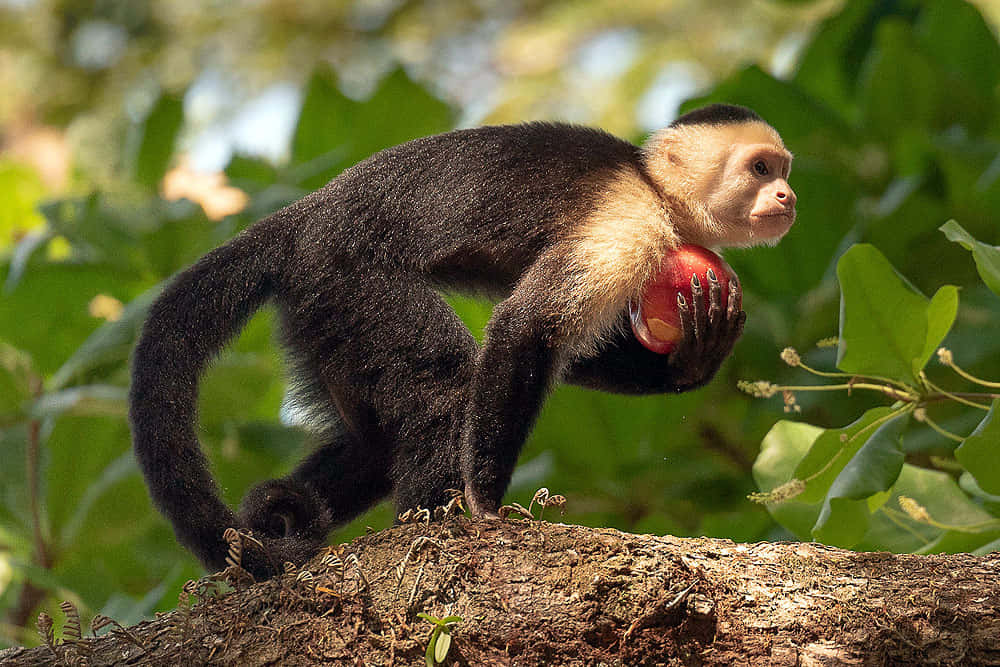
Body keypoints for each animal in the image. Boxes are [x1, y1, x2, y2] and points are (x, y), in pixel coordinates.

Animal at [129, 104, 796, 580]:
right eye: (760, 169)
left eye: (783, 170)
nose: (788, 196)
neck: (655, 189)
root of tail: (305, 217)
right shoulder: (627, 221)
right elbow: (526, 328)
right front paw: (485, 508)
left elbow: (572, 355)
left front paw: (692, 359)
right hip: (349, 274)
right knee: (444, 381)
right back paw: (433, 523)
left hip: (320, 309)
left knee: (376, 441)